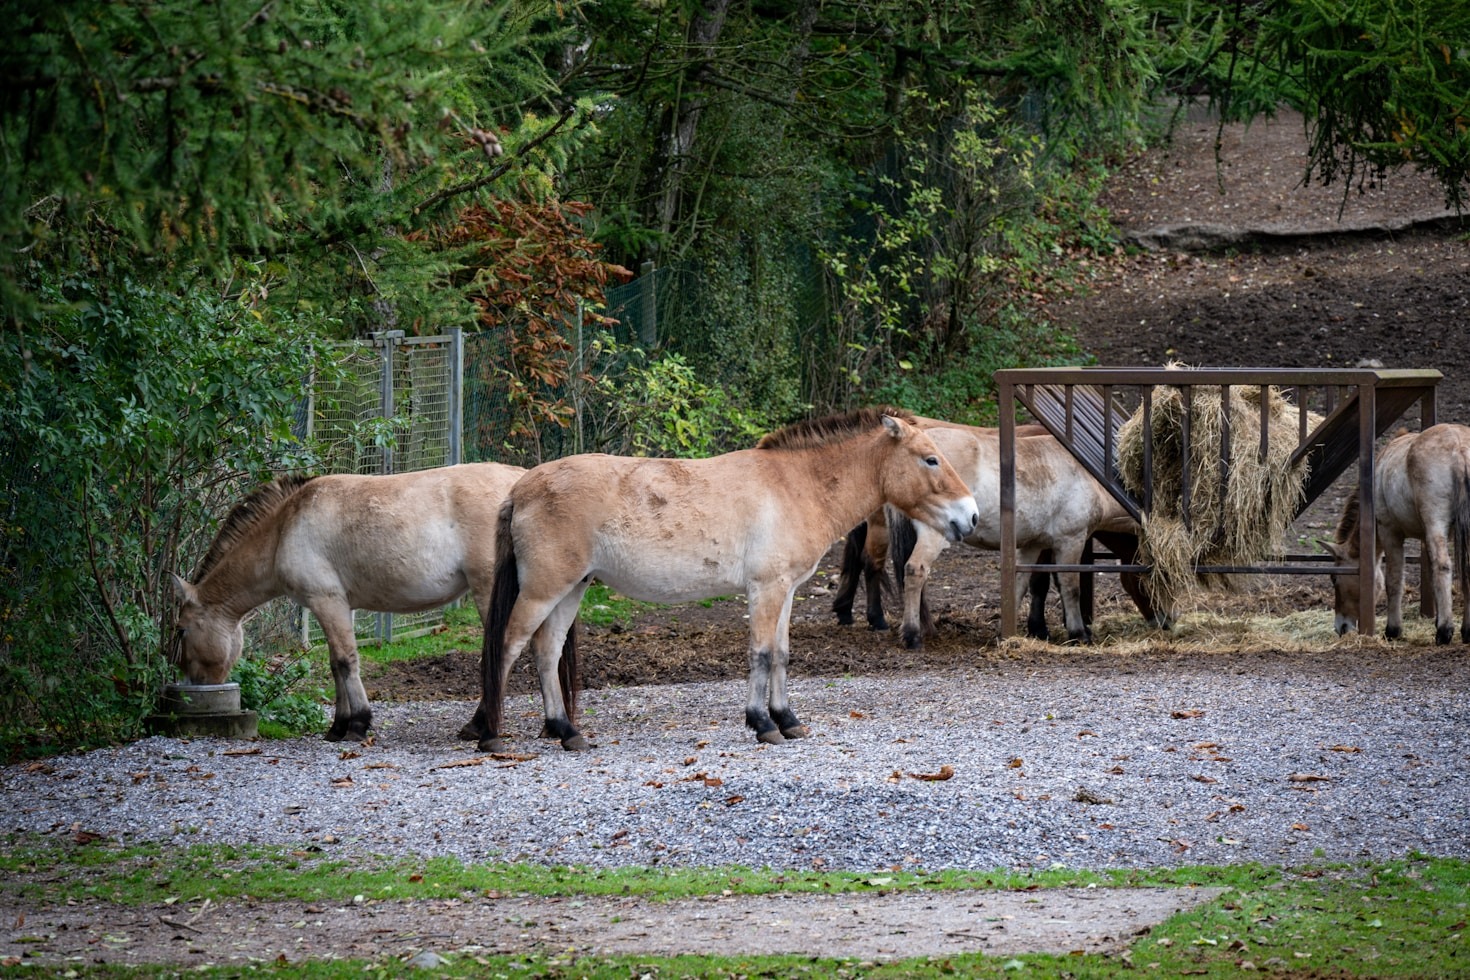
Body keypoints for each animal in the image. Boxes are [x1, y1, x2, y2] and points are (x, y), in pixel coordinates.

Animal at [171, 462, 528, 741]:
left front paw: (357, 724)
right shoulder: (339, 607)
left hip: (488, 592)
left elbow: (345, 661)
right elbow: (336, 663)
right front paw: (338, 726)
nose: (191, 684)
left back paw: (479, 725)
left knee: (502, 651)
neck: (283, 529)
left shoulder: (326, 601)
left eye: (181, 630)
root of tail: (522, 484)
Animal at [474, 407, 980, 752]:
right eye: (931, 460)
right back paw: (490, 733)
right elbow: (761, 654)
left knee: (546, 651)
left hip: (571, 589)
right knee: (509, 644)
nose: (971, 516)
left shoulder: (786, 591)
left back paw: (565, 730)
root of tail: (520, 488)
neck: (798, 485)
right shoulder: (765, 590)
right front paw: (762, 724)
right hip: (544, 589)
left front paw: (788, 720)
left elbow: (781, 654)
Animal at [1323, 423, 1470, 644]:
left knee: (1443, 566)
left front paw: (1393, 630)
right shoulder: (1426, 537)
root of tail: (1459, 448)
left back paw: (1444, 631)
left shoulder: (1389, 532)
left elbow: (1393, 580)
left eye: (1334, 578)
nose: (1341, 627)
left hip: (1435, 522)